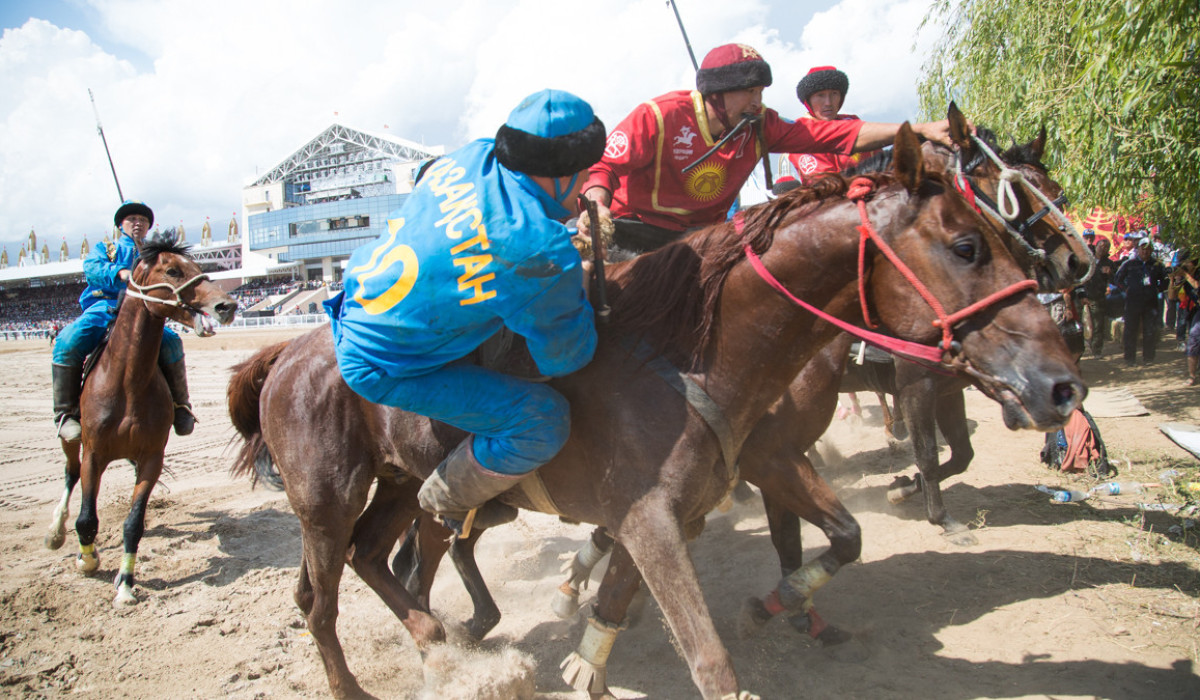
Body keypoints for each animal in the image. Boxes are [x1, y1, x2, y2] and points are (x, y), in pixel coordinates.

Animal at [42, 232, 234, 605]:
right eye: (172, 270)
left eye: (197, 266)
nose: (226, 306)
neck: (127, 382)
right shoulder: (94, 455)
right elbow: (87, 518)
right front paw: (87, 558)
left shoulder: (151, 458)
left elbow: (133, 523)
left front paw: (126, 582)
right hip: (71, 438)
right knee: (70, 473)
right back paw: (56, 530)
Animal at [226, 126, 1089, 700]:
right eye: (968, 244)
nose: (1061, 385)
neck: (687, 356)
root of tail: (288, 351)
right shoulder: (660, 514)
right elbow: (710, 660)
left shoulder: (696, 501)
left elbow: (632, 601)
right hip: (326, 502)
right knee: (323, 600)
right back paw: (378, 675)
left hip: (402, 485)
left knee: (382, 557)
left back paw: (444, 645)